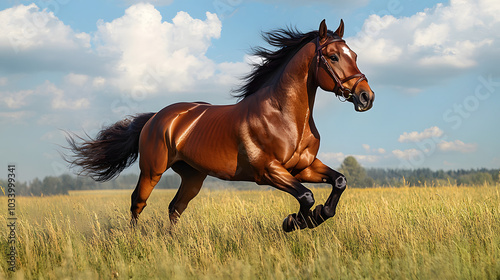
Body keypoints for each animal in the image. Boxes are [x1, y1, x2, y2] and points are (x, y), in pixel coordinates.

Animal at [69, 20, 376, 232]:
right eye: (333, 57)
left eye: (355, 55)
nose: (366, 97)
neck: (285, 117)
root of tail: (157, 117)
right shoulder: (269, 171)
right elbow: (307, 196)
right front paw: (294, 222)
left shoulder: (304, 167)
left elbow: (338, 181)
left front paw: (315, 217)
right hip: (152, 170)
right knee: (138, 203)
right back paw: (134, 241)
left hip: (193, 176)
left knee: (175, 207)